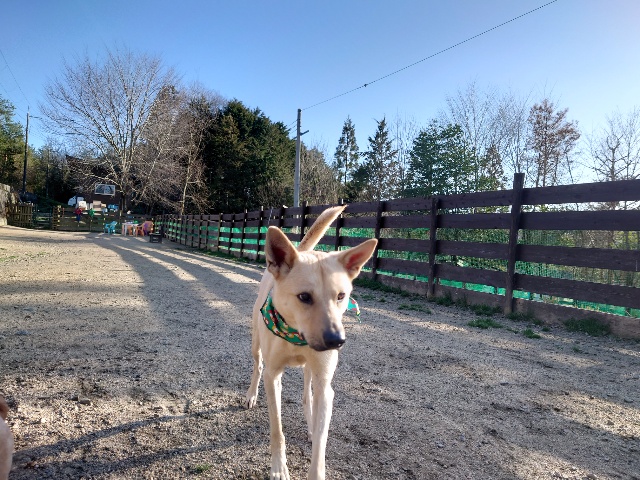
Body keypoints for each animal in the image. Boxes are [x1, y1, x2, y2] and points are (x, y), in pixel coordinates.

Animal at [245, 205, 377, 480]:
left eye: (341, 296)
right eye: (304, 297)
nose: (337, 341)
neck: (296, 335)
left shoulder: (326, 386)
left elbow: (321, 440)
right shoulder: (273, 377)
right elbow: (277, 429)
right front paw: (278, 468)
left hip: (313, 370)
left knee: (308, 393)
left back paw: (309, 420)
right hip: (255, 344)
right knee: (257, 365)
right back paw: (251, 394)